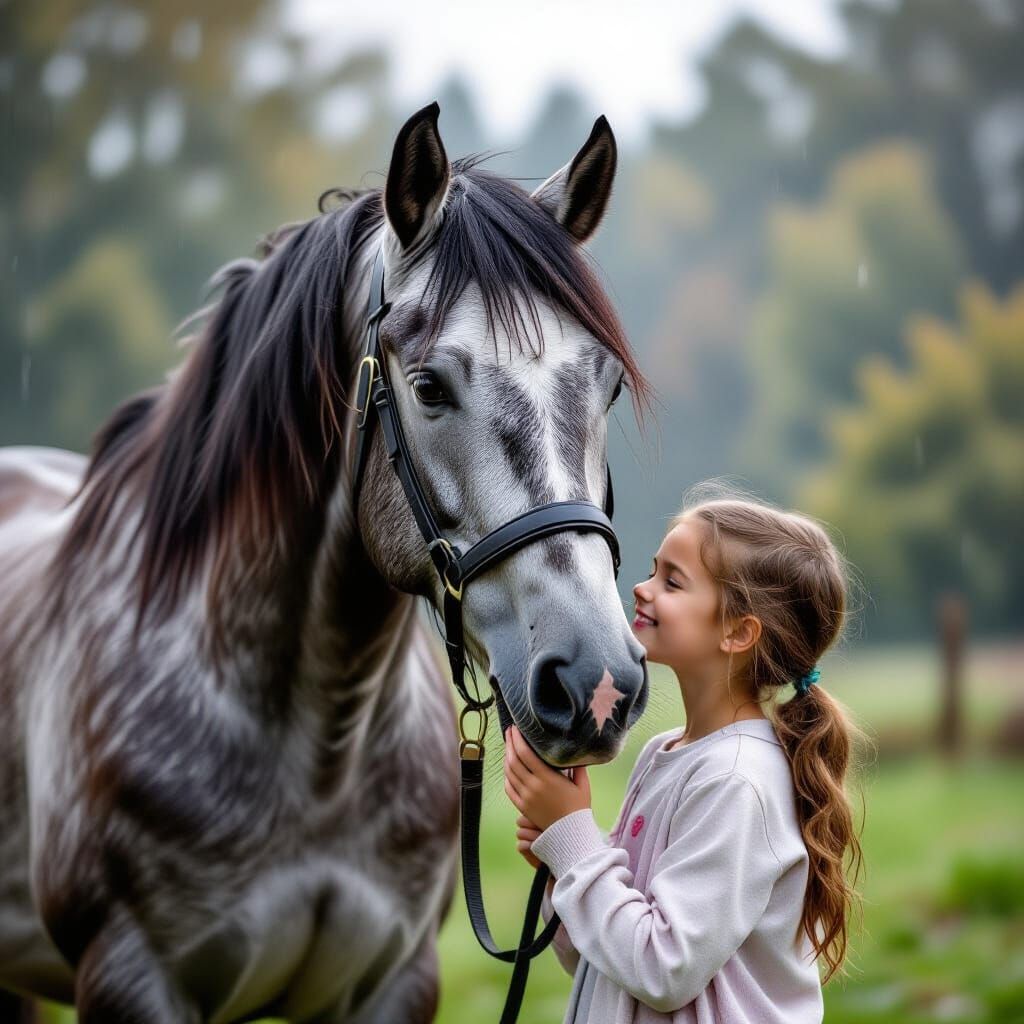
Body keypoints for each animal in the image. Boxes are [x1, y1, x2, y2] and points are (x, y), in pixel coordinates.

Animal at [0, 101, 650, 1023]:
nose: (597, 684)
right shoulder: (132, 978)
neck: (314, 752)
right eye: (428, 387)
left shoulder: (393, 981)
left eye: (607, 385)